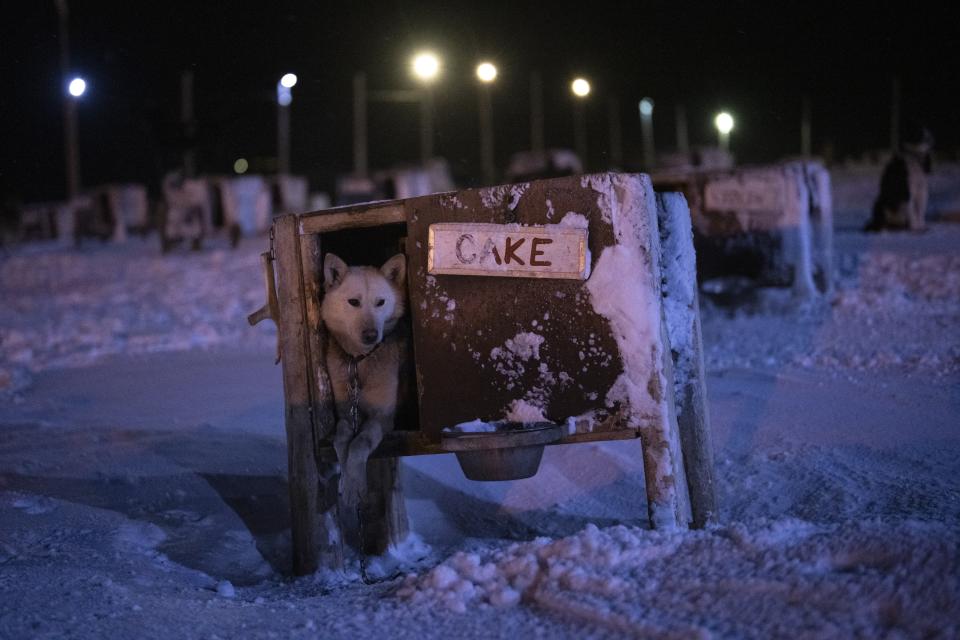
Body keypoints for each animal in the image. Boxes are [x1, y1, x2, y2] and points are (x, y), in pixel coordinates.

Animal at [320, 252, 406, 508]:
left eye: (380, 302)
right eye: (353, 302)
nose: (370, 335)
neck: (359, 363)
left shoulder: (383, 418)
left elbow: (359, 444)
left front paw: (352, 487)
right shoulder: (347, 413)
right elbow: (342, 439)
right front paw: (345, 480)